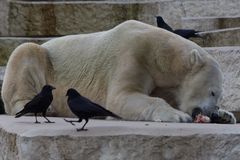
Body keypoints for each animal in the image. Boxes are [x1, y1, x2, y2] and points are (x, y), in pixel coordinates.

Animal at [0, 20, 235, 122]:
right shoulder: (132, 54)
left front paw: (226, 115)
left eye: (219, 96)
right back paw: (40, 107)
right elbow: (122, 97)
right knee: (25, 52)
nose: (211, 113)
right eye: (213, 91)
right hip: (44, 59)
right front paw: (177, 115)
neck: (160, 54)